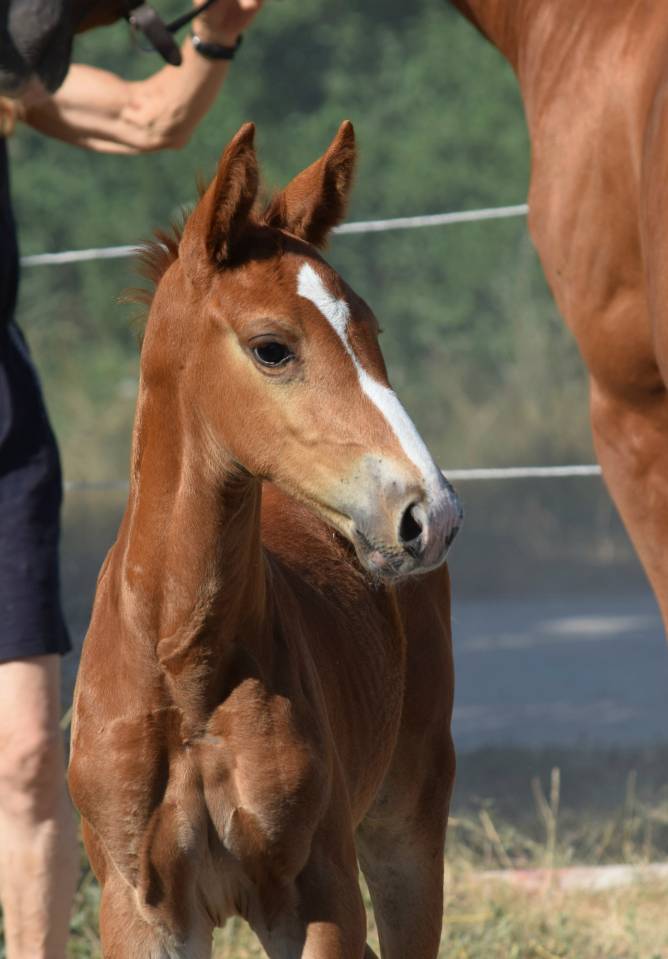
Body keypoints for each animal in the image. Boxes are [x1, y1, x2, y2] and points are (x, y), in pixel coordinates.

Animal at [68, 121, 462, 958]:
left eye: (370, 329)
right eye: (272, 347)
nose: (430, 513)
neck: (186, 671)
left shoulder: (318, 893)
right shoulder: (141, 908)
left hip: (409, 823)